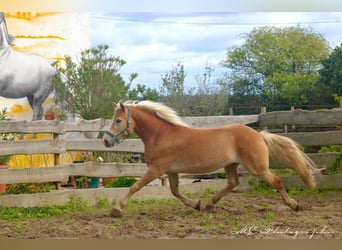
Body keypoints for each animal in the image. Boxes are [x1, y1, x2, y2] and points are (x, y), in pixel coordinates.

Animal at [103, 100, 316, 218]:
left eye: (118, 120)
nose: (106, 141)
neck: (161, 135)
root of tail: (259, 134)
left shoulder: (156, 170)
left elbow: (135, 187)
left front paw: (116, 209)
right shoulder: (171, 171)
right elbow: (174, 191)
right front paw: (196, 204)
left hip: (258, 168)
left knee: (276, 181)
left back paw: (294, 205)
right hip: (231, 165)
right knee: (233, 183)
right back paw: (209, 205)